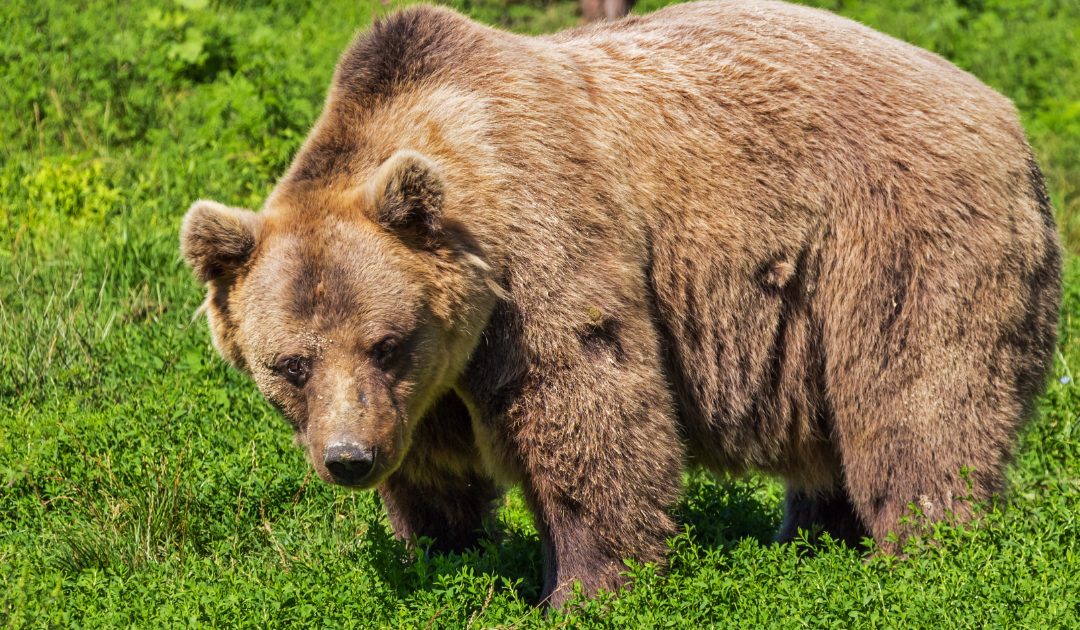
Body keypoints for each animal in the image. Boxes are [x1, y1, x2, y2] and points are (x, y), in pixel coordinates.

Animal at [181, 0, 1058, 609]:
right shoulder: (428, 384)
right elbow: (435, 472)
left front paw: (582, 588)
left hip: (896, 239)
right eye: (289, 364)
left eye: (386, 341)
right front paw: (446, 552)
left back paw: (923, 553)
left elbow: (588, 411)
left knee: (917, 403)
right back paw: (812, 540)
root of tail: (1009, 118)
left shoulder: (542, 256)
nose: (348, 459)